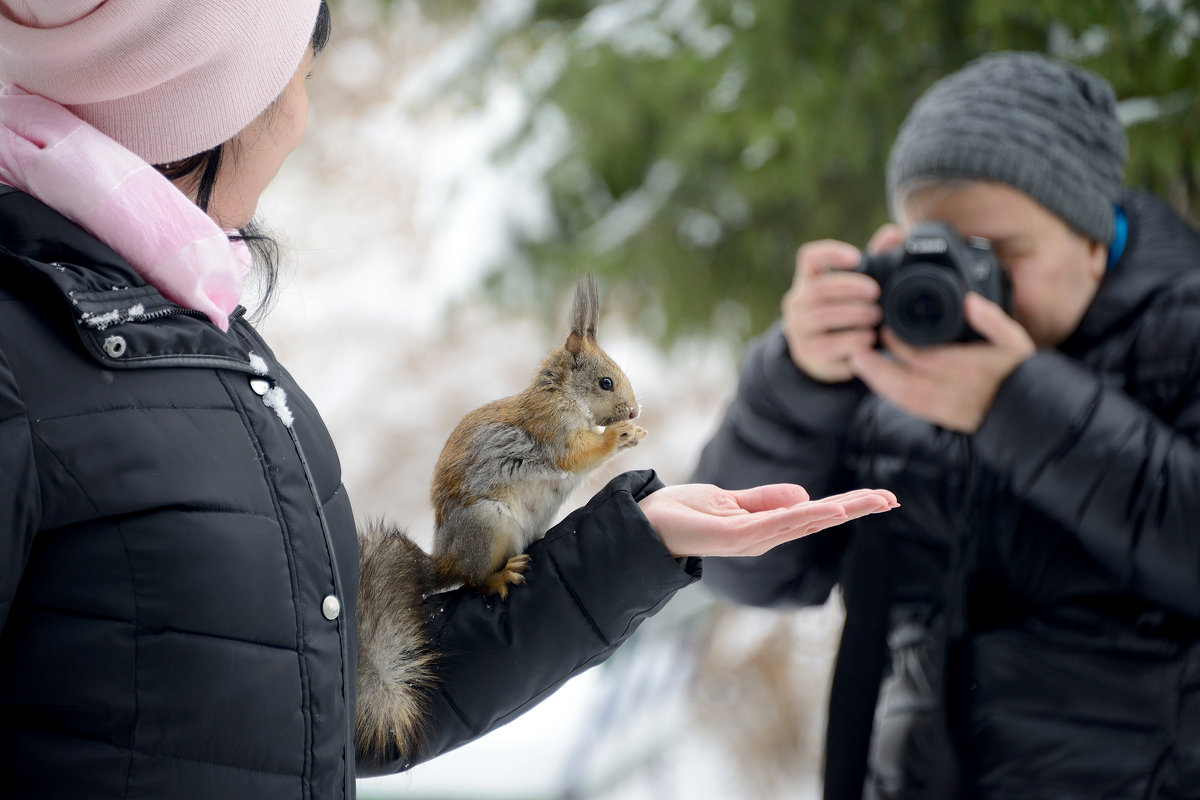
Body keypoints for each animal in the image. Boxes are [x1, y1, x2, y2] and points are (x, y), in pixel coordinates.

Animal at [432, 277, 648, 599]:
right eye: (606, 383)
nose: (633, 412)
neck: (562, 394)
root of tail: (445, 561)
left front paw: (633, 434)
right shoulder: (550, 427)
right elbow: (574, 455)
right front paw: (616, 434)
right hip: (487, 523)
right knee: (473, 581)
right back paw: (501, 577)